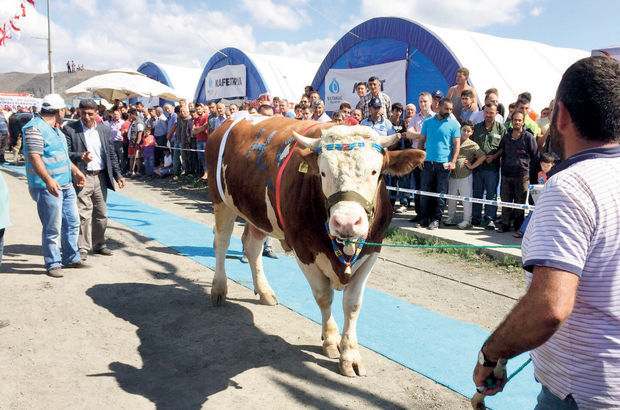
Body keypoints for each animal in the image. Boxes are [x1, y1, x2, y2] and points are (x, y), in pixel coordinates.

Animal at [206, 113, 424, 376]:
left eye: (375, 172)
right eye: (322, 173)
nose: (346, 222)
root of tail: (236, 117)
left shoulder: (373, 250)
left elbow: (353, 304)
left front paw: (350, 355)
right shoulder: (303, 250)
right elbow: (324, 296)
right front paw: (330, 340)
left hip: (258, 213)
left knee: (252, 246)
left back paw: (265, 291)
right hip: (221, 200)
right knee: (221, 241)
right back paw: (219, 289)